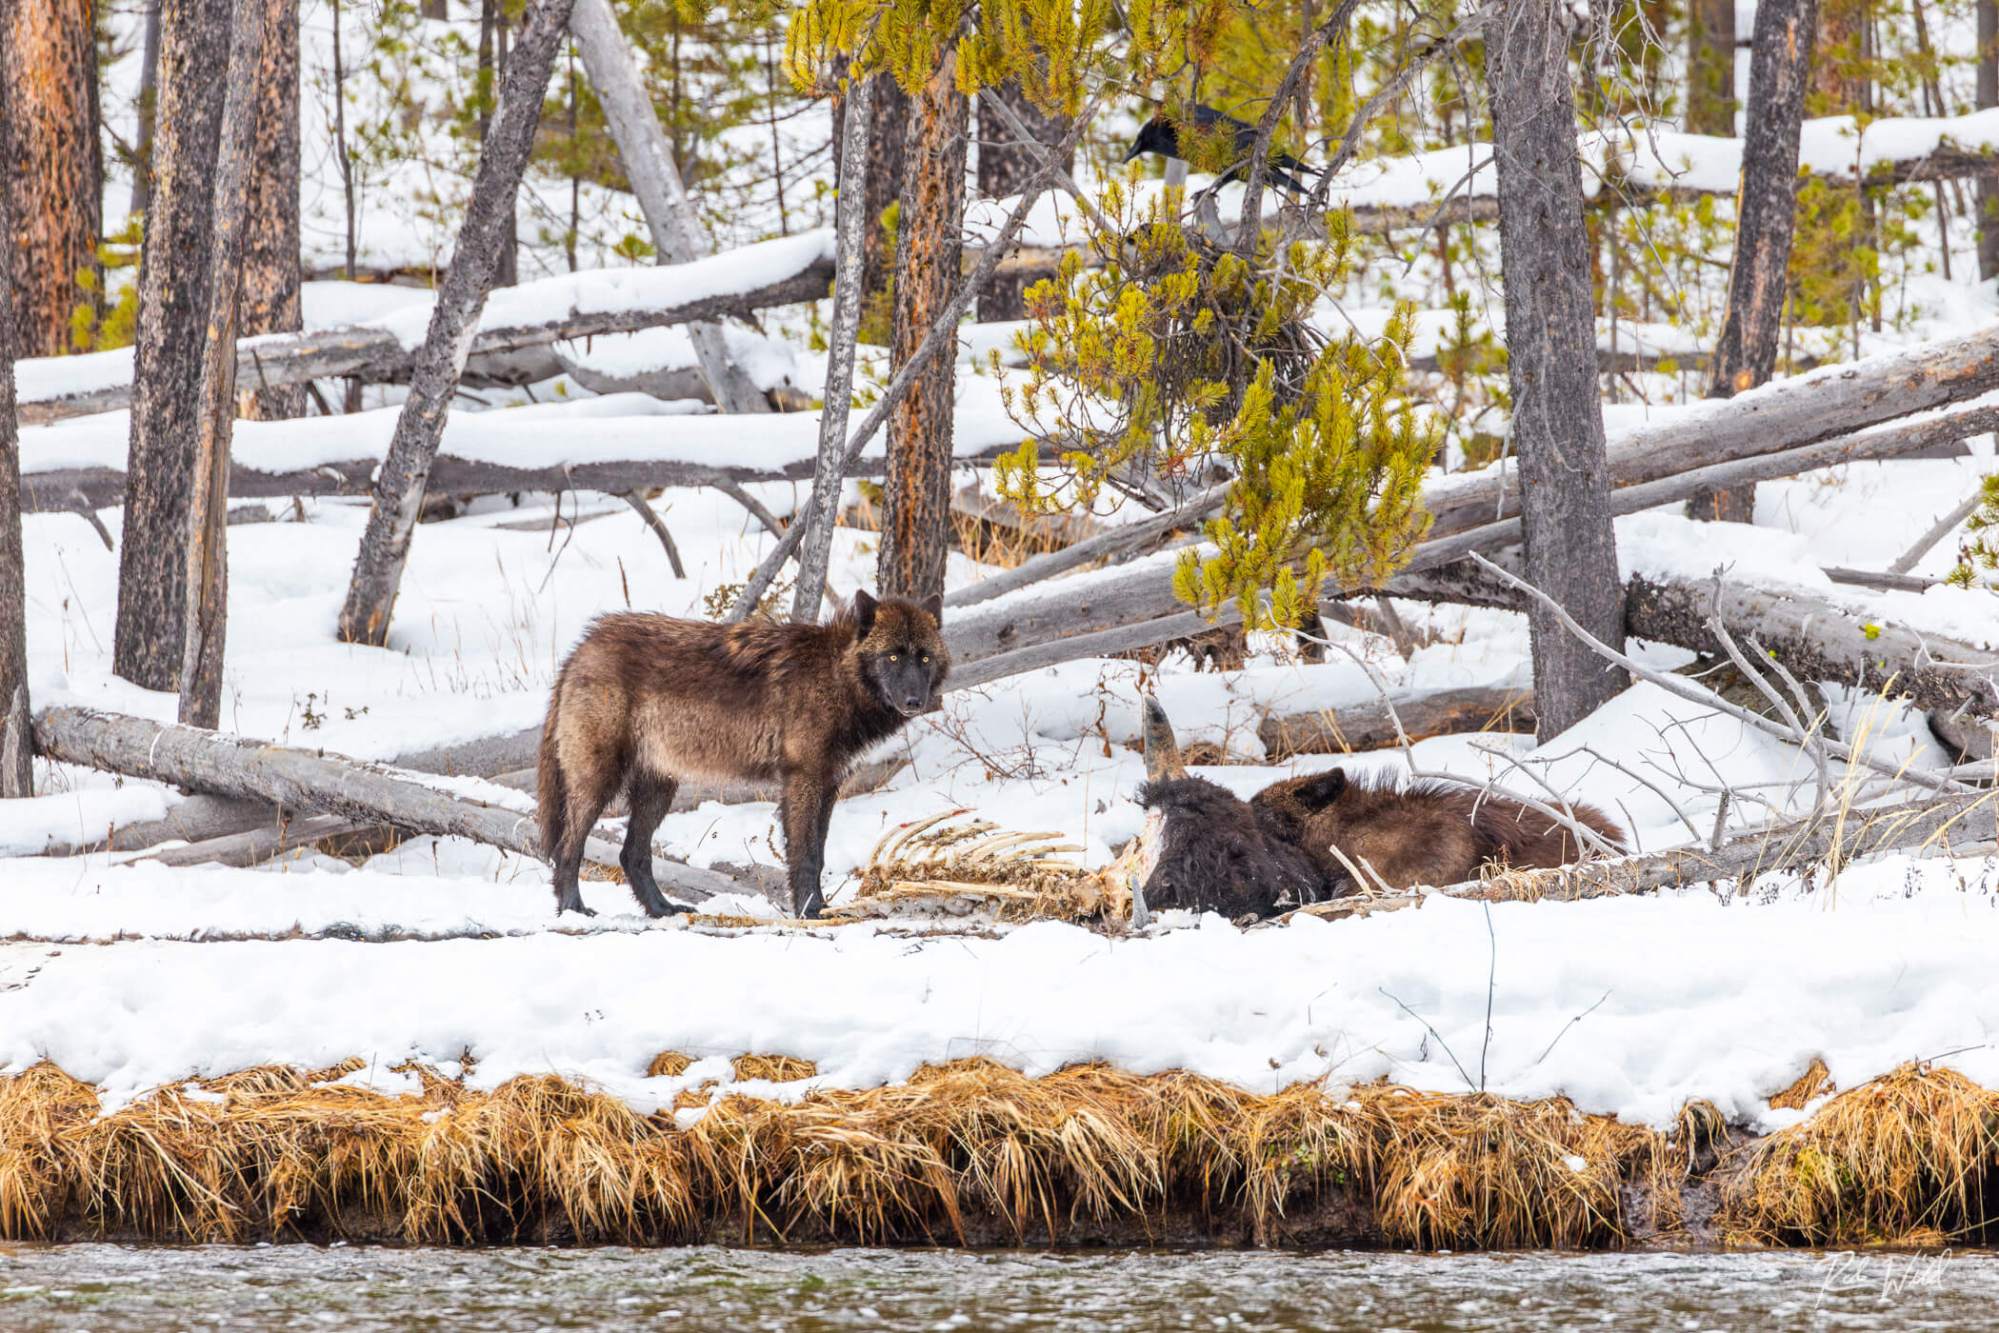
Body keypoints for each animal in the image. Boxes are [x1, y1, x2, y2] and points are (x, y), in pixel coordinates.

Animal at [536, 590, 949, 919]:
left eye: (924, 659)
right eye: (892, 658)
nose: (915, 701)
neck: (835, 676)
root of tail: (583, 645)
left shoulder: (829, 785)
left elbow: (819, 855)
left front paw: (819, 908)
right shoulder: (802, 781)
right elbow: (806, 856)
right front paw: (809, 913)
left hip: (658, 789)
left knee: (631, 855)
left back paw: (662, 910)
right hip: (599, 782)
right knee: (567, 848)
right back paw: (573, 910)